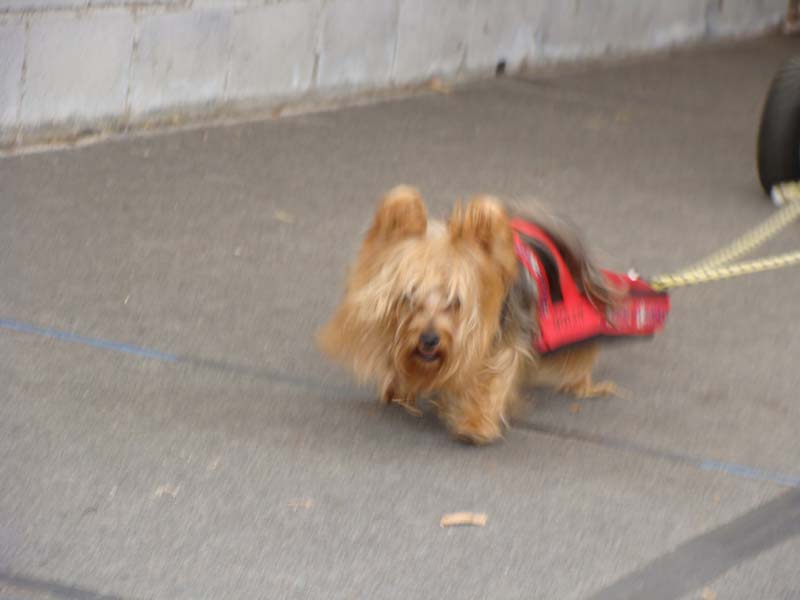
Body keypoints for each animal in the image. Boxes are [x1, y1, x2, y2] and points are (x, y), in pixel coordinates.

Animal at [318, 185, 620, 442]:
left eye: (455, 302)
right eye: (409, 296)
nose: (429, 340)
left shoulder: (501, 341)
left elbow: (492, 377)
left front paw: (475, 423)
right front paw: (400, 387)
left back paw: (578, 382)